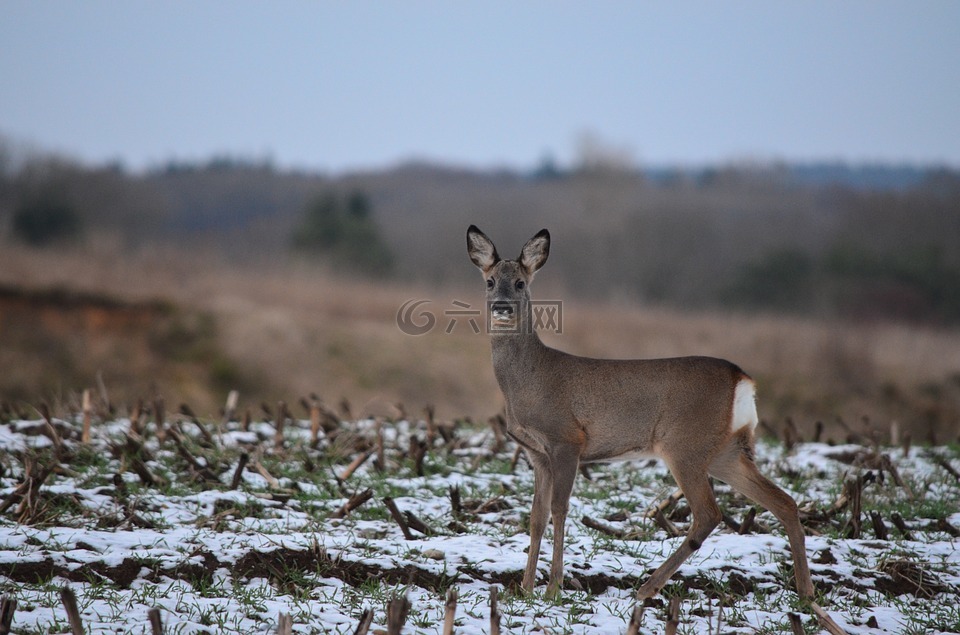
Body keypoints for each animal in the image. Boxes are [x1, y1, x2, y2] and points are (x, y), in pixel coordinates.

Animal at [466, 224, 817, 604]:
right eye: (489, 281)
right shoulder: (536, 453)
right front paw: (525, 588)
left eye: (520, 283)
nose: (501, 307)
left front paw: (553, 588)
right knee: (784, 501)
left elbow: (559, 509)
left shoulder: (567, 440)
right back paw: (806, 592)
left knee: (709, 513)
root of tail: (742, 379)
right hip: (726, 450)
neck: (529, 381)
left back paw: (647, 587)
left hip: (685, 444)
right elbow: (536, 516)